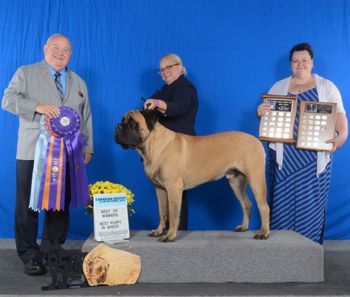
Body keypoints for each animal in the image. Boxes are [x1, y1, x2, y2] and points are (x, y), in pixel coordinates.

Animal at [115, 108, 270, 240]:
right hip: (236, 182)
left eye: (132, 122)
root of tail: (256, 140)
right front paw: (159, 231)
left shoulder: (173, 188)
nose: (117, 126)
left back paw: (263, 233)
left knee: (263, 206)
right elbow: (162, 211)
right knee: (247, 204)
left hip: (256, 179)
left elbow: (173, 213)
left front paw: (169, 235)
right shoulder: (159, 189)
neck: (150, 147)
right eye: (122, 120)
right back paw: (244, 227)